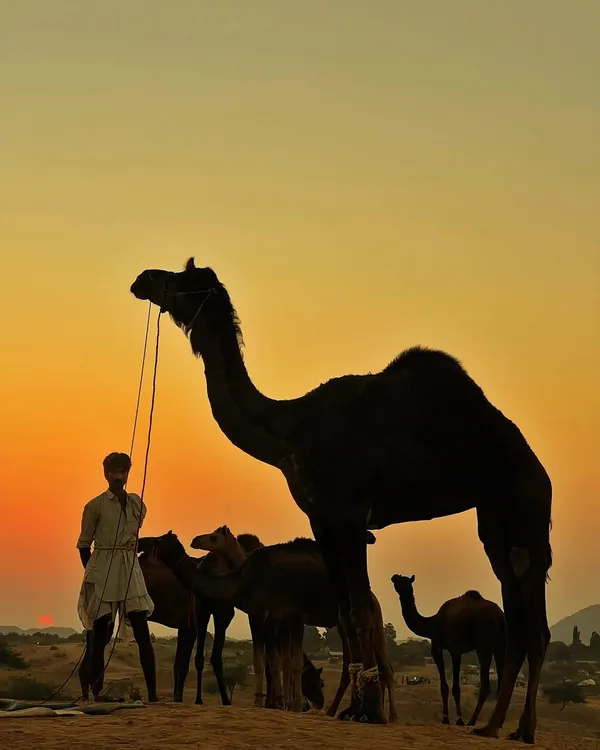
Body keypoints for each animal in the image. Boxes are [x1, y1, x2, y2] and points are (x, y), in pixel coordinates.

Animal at [392, 574, 506, 727]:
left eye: (402, 580)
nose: (393, 577)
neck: (432, 623)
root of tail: (499, 617)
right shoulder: (454, 650)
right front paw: (456, 718)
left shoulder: (445, 648)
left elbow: (449, 687)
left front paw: (452, 719)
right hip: (501, 646)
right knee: (501, 682)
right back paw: (497, 722)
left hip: (484, 644)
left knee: (486, 685)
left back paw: (472, 721)